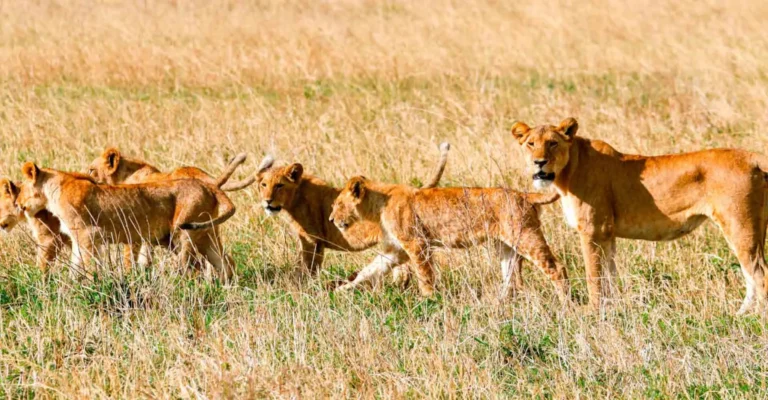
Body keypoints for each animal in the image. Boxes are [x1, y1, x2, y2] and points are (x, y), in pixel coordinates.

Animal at [16, 162, 237, 281]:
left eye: (21, 188)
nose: (17, 203)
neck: (53, 192)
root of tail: (209, 186)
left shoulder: (89, 234)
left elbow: (89, 265)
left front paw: (92, 285)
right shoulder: (78, 239)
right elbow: (75, 265)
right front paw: (70, 287)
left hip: (183, 234)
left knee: (192, 267)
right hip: (206, 235)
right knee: (224, 262)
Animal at [255, 143, 451, 283]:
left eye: (279, 185)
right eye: (263, 185)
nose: (267, 201)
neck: (296, 196)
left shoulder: (312, 240)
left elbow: (307, 268)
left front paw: (301, 288)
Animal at [327, 176, 569, 300]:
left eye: (337, 204)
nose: (330, 219)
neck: (378, 206)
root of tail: (525, 194)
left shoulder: (417, 244)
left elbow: (424, 275)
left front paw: (428, 300)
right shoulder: (395, 250)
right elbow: (368, 271)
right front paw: (340, 291)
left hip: (525, 237)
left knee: (556, 268)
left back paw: (565, 303)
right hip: (506, 247)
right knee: (511, 277)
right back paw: (500, 302)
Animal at [511, 117, 768, 314]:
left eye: (553, 143)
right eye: (531, 144)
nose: (539, 163)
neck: (567, 171)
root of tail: (751, 156)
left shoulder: (593, 230)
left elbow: (593, 276)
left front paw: (591, 313)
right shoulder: (607, 234)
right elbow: (609, 276)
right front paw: (611, 311)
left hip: (739, 226)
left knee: (760, 275)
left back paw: (755, 320)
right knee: (750, 275)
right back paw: (740, 315)